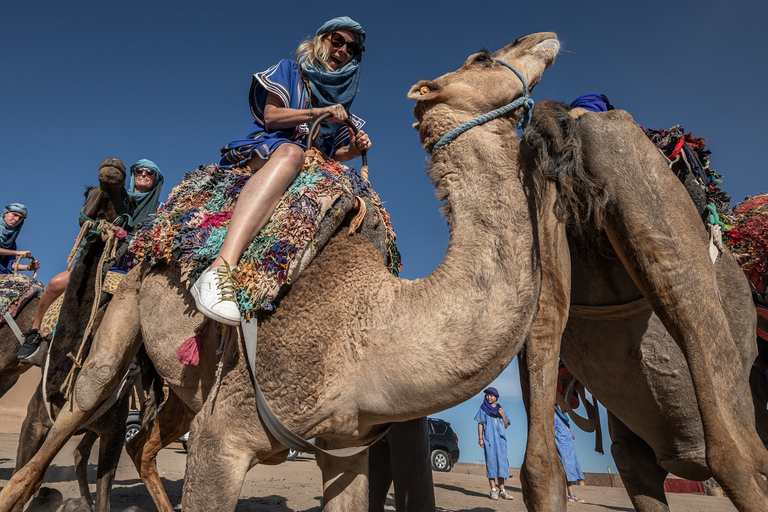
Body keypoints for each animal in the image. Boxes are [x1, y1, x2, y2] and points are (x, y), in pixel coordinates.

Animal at [1, 32, 564, 512]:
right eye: (482, 58)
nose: (543, 37)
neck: (371, 327)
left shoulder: (344, 446)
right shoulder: (224, 437)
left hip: (185, 380)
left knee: (143, 444)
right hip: (125, 309)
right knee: (77, 409)